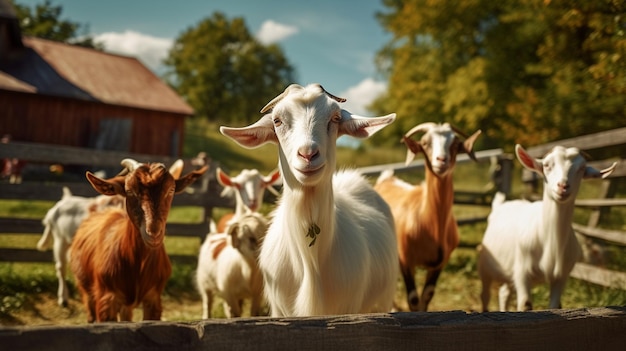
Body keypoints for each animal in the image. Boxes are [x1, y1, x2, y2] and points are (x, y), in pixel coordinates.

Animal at [70, 158, 207, 324]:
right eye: (129, 191)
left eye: (171, 190)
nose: (153, 233)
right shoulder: (106, 299)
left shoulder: (154, 299)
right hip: (85, 287)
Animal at [219, 84, 394, 318]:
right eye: (277, 121)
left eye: (335, 118)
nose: (308, 154)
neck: (310, 261)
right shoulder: (279, 310)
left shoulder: (348, 307)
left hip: (383, 300)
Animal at [372, 122, 480, 312]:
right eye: (425, 143)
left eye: (455, 144)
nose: (441, 160)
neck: (429, 223)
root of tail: (387, 179)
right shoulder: (405, 259)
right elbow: (414, 299)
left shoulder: (440, 263)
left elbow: (427, 296)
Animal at [478, 145, 616, 310]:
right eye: (546, 165)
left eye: (582, 168)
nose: (563, 186)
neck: (551, 242)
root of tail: (500, 204)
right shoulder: (522, 273)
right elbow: (525, 304)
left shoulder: (561, 276)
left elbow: (555, 306)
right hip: (486, 266)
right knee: (485, 295)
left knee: (504, 293)